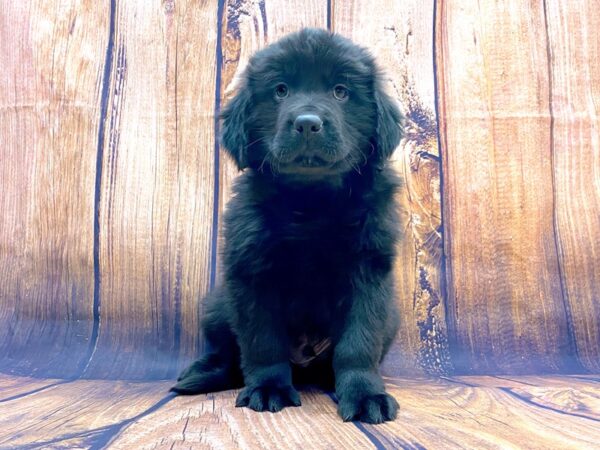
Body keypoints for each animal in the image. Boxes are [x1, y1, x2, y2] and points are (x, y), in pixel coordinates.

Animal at [176, 29, 406, 426]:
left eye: (340, 91)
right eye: (280, 90)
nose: (308, 123)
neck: (311, 202)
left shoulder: (369, 272)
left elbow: (358, 344)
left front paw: (365, 395)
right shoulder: (252, 273)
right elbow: (263, 342)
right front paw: (268, 389)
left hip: (390, 315)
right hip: (217, 303)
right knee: (227, 355)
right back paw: (199, 375)